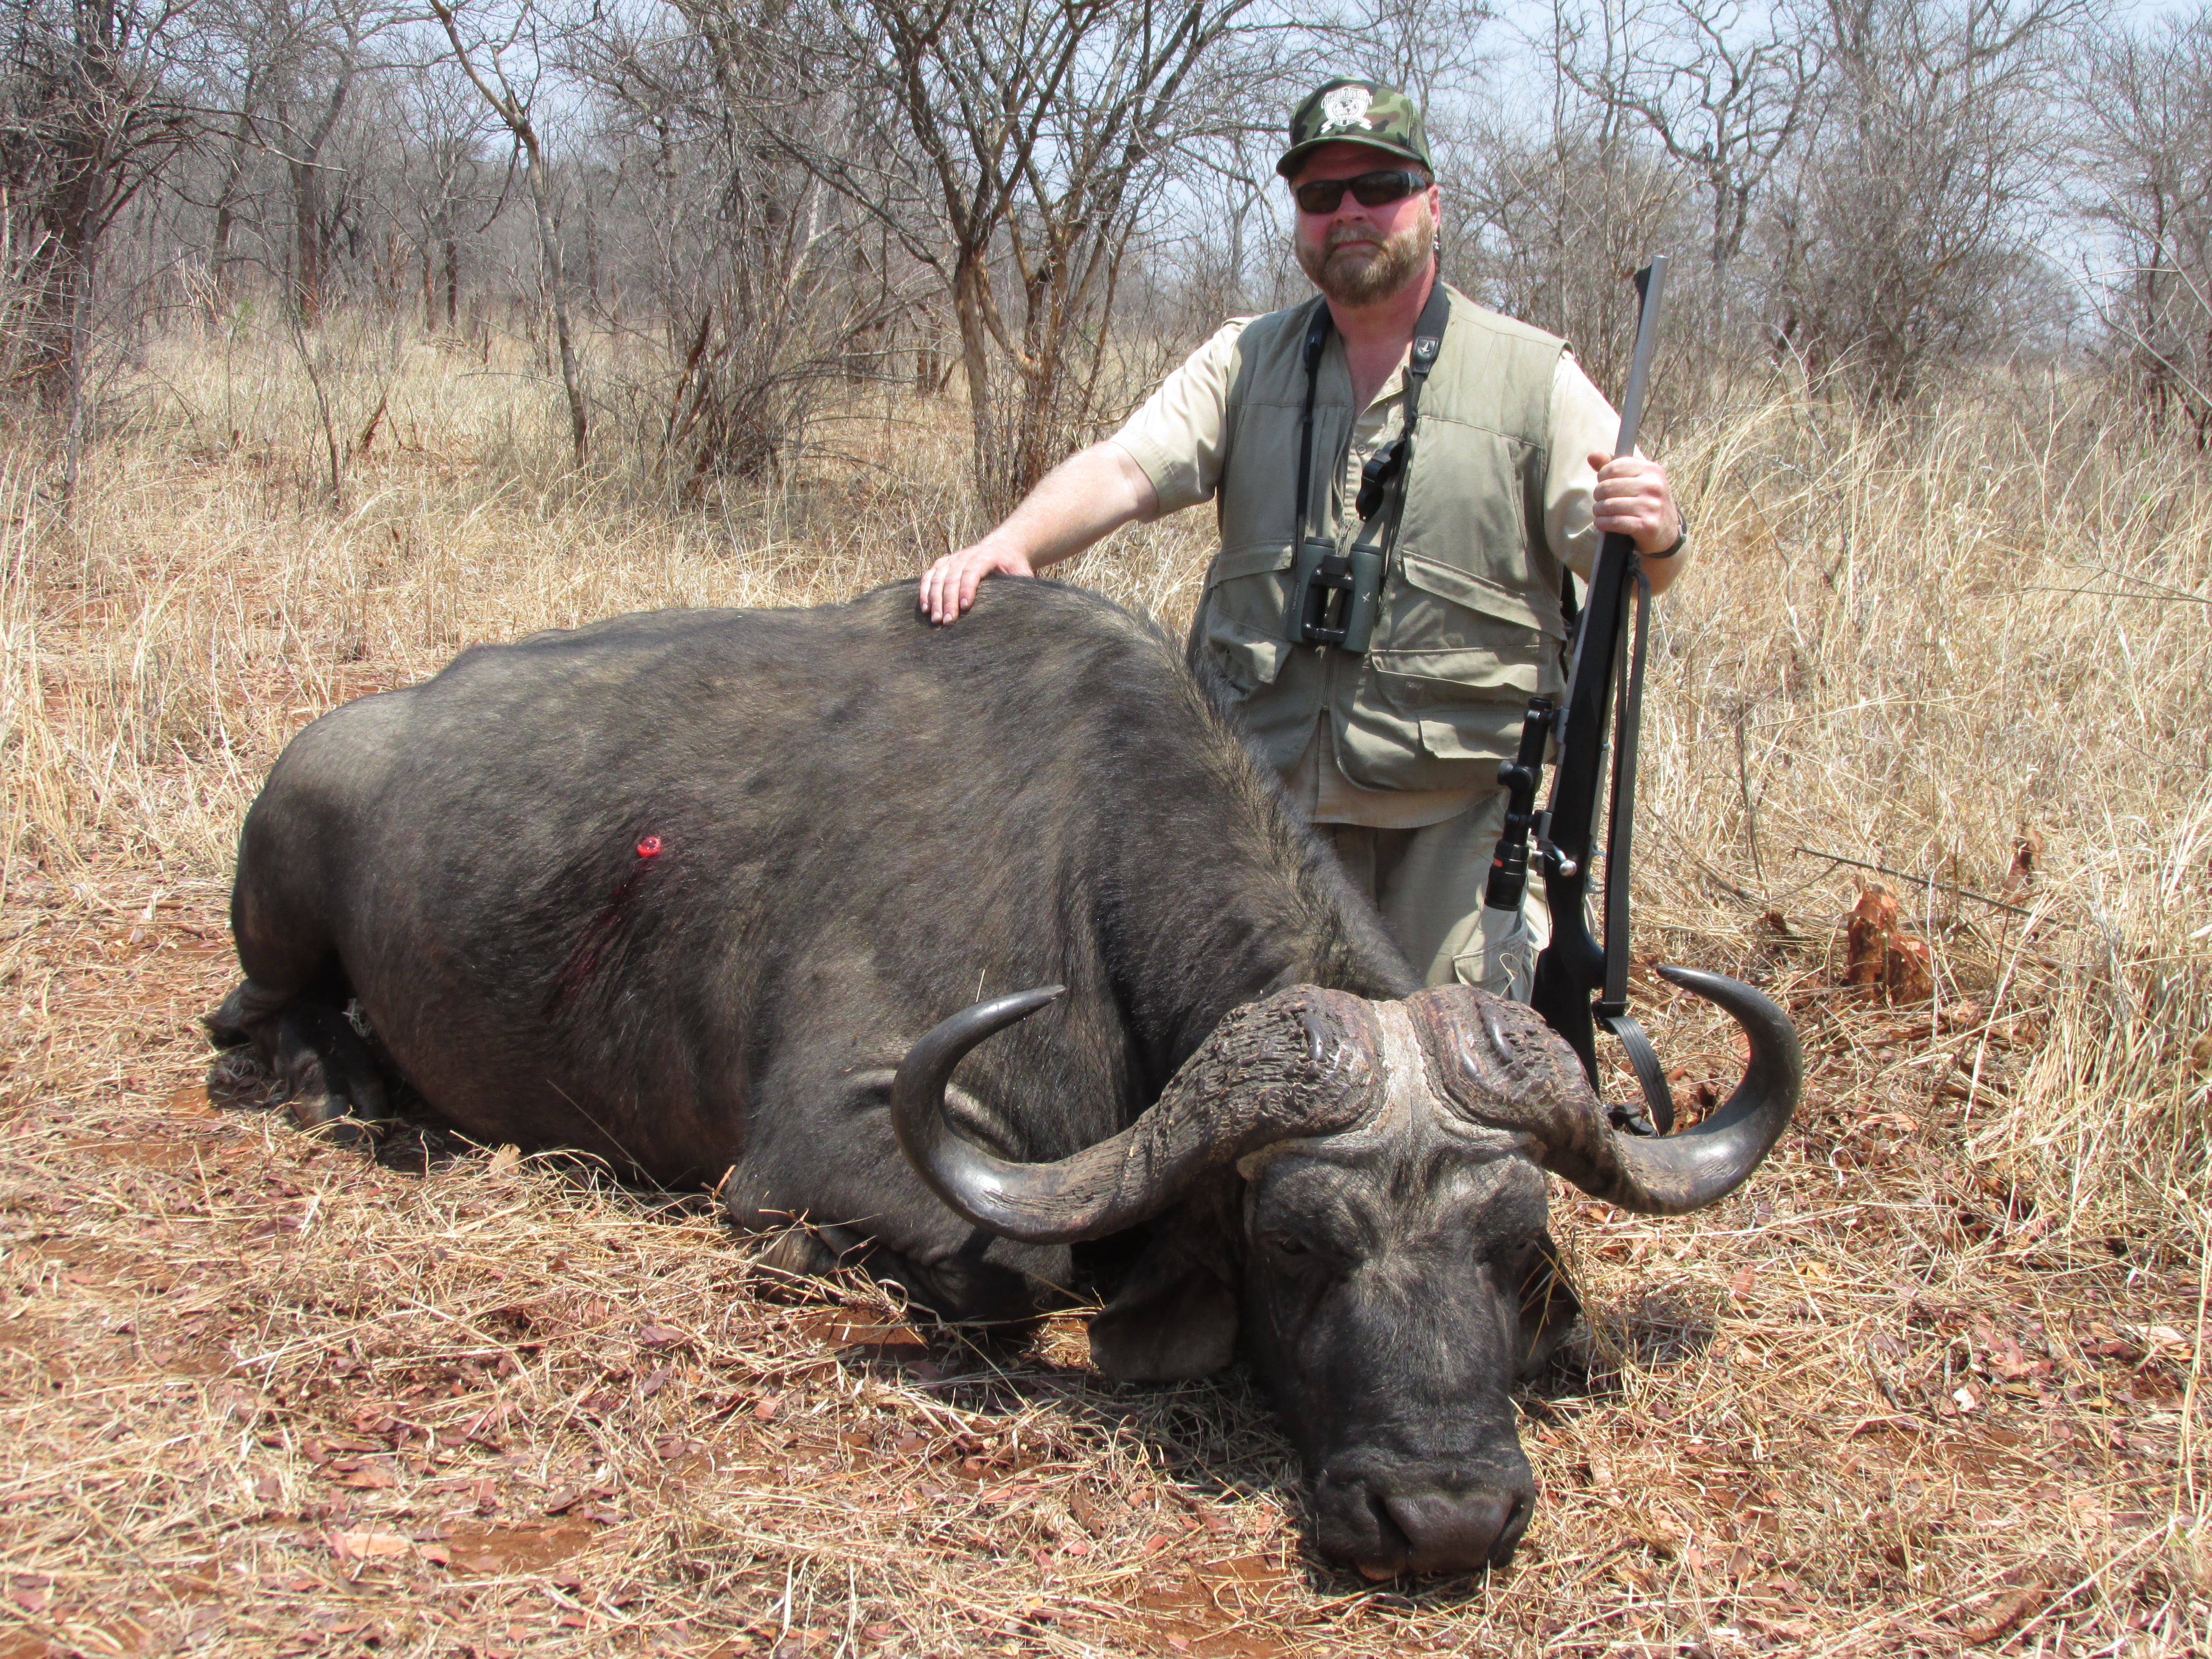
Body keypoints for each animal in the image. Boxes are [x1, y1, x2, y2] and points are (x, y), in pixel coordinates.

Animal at [211, 579, 1796, 1575]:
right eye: (1295, 1244)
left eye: (1513, 1246)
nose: (1445, 1516)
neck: (1084, 863)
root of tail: (362, 732)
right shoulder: (817, 1147)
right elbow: (1014, 1278)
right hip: (279, 899)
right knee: (253, 1020)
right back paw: (338, 1088)